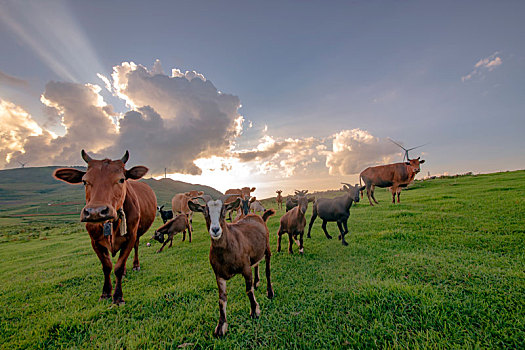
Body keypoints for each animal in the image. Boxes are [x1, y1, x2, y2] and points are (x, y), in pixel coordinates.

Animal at [52, 150, 156, 304]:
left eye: (121, 179)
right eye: (84, 181)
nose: (95, 211)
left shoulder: (130, 237)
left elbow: (118, 267)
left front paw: (118, 297)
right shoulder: (95, 242)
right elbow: (107, 266)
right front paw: (106, 293)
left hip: (137, 234)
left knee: (136, 247)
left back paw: (135, 265)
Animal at [189, 196, 278, 338]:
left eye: (223, 212)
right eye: (205, 212)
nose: (215, 230)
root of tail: (259, 217)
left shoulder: (246, 268)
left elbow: (248, 290)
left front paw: (255, 312)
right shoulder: (218, 275)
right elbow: (222, 299)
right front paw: (221, 326)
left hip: (267, 248)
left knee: (268, 271)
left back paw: (270, 292)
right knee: (256, 264)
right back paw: (257, 282)